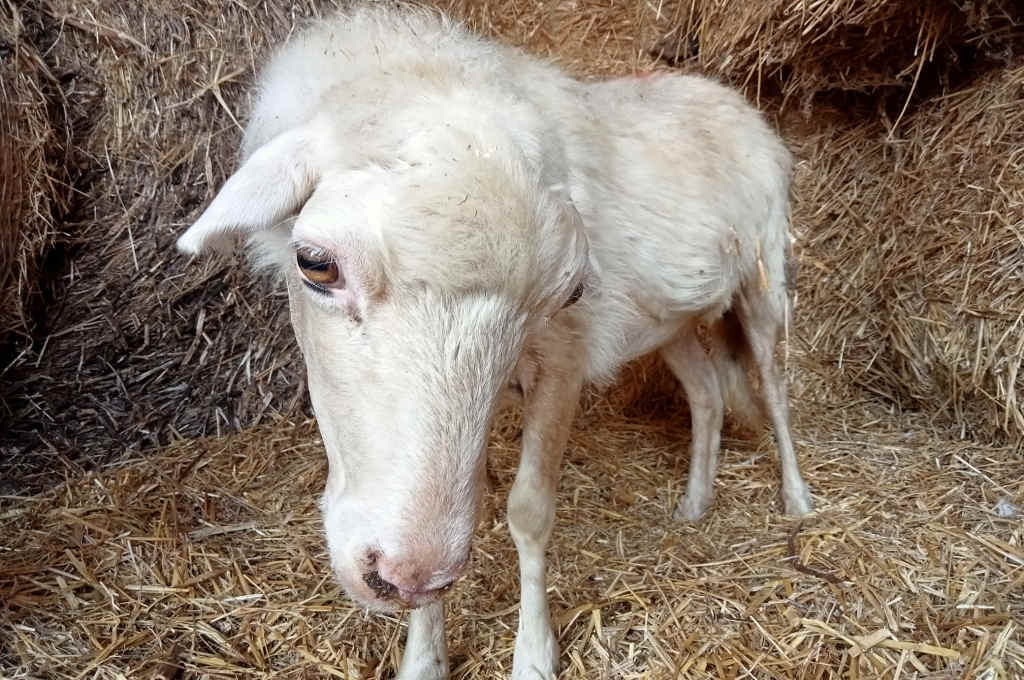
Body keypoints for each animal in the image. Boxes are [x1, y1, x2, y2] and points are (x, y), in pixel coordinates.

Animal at [178, 6, 815, 680]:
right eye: (314, 264)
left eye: (567, 294)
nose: (404, 575)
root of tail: (727, 96)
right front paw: (423, 656)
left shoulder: (563, 360)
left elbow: (529, 511)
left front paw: (533, 655)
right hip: (670, 322)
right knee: (706, 395)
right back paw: (695, 504)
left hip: (765, 275)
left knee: (774, 389)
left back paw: (797, 498)